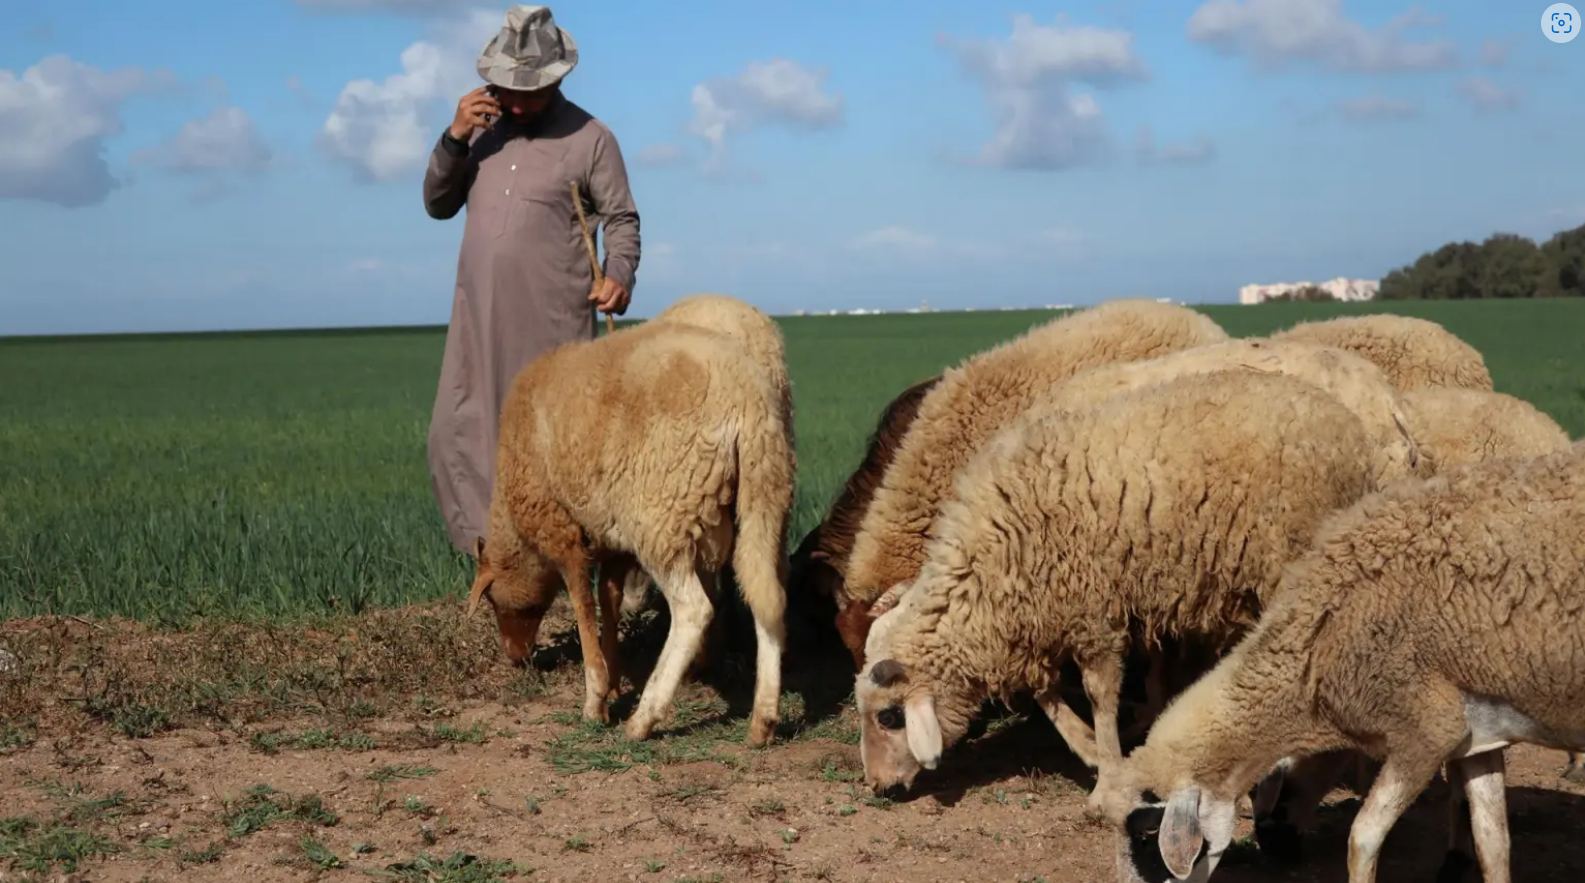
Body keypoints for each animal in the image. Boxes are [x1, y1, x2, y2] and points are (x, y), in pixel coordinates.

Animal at [462, 317, 798, 745]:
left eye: (491, 599)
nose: (514, 657)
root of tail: (746, 400)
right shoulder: (612, 541)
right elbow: (609, 599)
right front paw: (614, 680)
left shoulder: (563, 532)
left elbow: (583, 607)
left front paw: (596, 700)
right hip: (765, 502)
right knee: (768, 598)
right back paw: (763, 720)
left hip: (662, 517)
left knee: (693, 611)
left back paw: (644, 719)